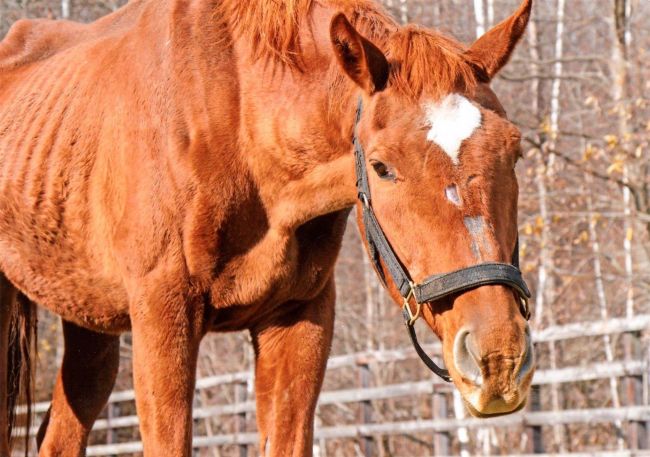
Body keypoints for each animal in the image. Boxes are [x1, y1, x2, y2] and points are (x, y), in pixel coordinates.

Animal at [0, 0, 536, 454]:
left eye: (514, 151)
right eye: (382, 167)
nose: (498, 356)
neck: (239, 126)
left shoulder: (299, 321)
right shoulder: (161, 317)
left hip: (89, 318)